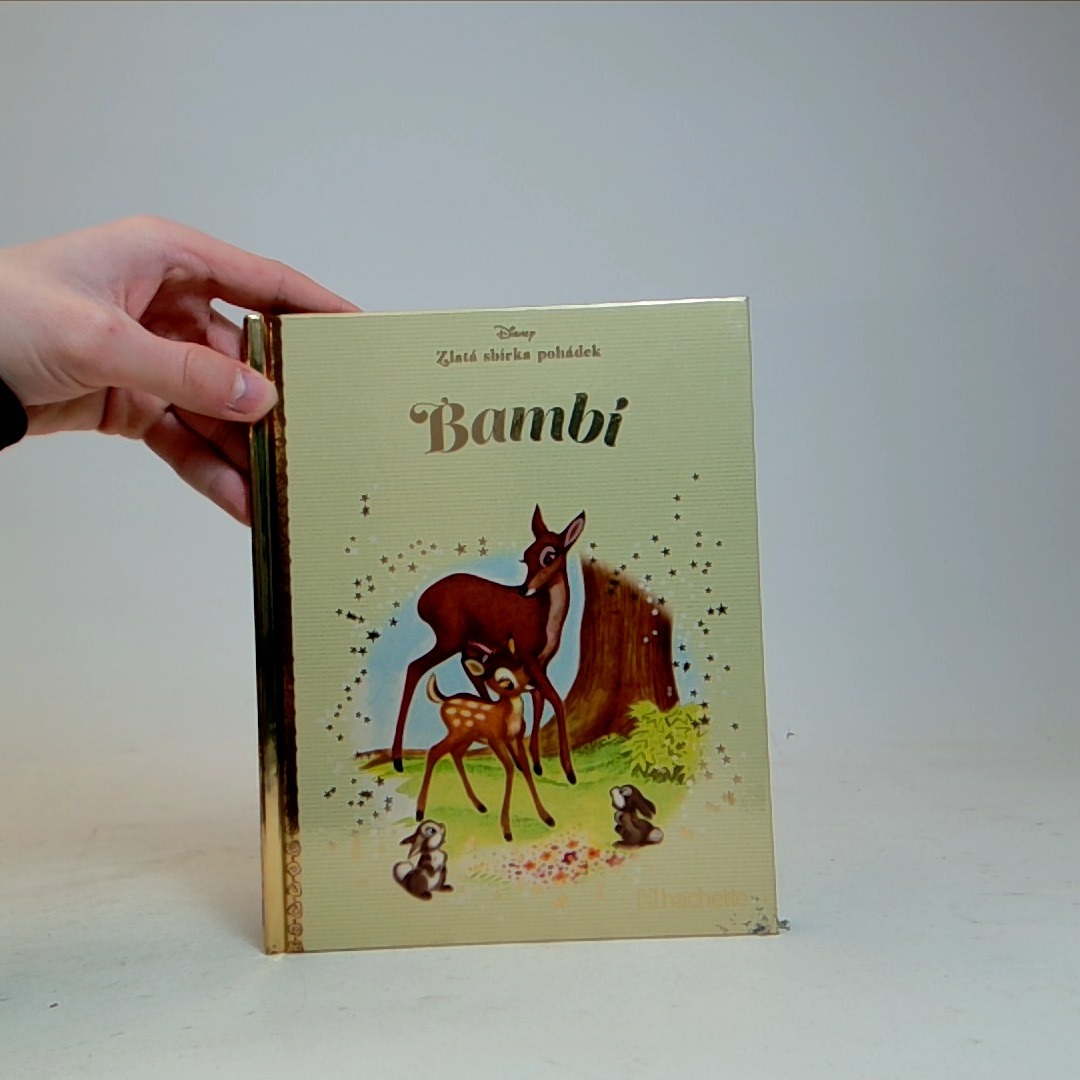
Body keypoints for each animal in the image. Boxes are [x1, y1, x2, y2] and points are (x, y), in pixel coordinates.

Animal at [392, 506, 585, 784]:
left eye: (550, 556)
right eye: (526, 557)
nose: (524, 590)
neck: (546, 615)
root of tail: (422, 602)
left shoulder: (541, 663)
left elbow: (539, 700)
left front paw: (537, 765)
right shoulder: (528, 655)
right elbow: (556, 700)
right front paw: (569, 772)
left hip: (467, 645)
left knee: (470, 672)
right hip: (449, 639)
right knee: (415, 667)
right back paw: (397, 760)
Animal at [417, 639, 555, 842]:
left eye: (522, 666)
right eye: (505, 681)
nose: (532, 684)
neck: (506, 716)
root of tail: (444, 700)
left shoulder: (516, 739)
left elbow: (525, 768)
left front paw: (547, 818)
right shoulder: (495, 739)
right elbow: (510, 768)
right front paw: (507, 831)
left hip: (467, 737)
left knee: (455, 754)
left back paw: (480, 805)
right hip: (456, 732)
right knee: (435, 750)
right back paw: (419, 811)